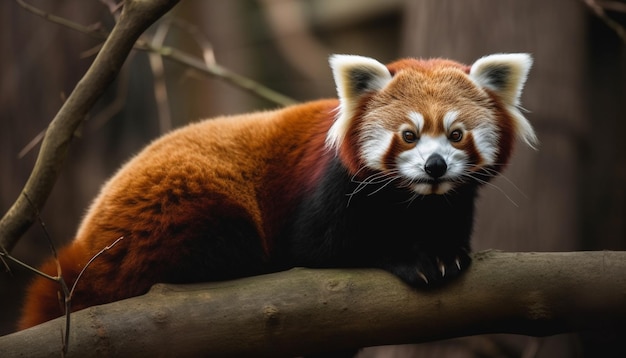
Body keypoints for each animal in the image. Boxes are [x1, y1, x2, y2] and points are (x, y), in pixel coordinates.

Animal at [20, 53, 536, 330]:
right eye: (408, 135)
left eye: (456, 135)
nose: (434, 166)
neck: (414, 202)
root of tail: (84, 241)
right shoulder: (330, 190)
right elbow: (319, 248)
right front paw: (414, 257)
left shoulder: (452, 203)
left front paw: (446, 252)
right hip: (178, 209)